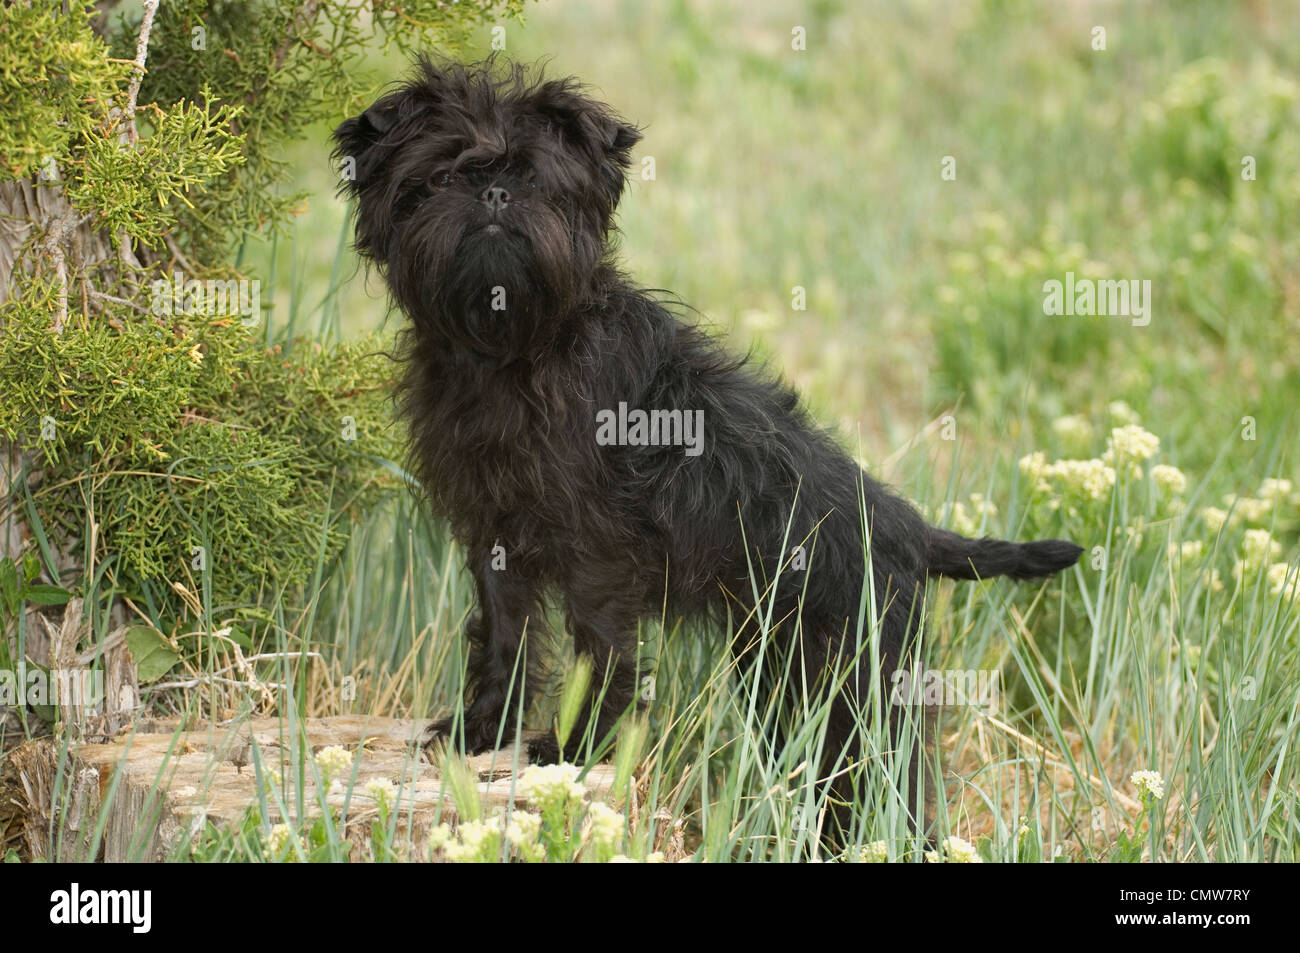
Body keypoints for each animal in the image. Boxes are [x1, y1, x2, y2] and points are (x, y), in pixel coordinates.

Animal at [330, 55, 1081, 837]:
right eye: (441, 178)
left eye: (537, 180)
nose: (495, 192)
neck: (510, 347)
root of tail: (910, 528)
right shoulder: (496, 535)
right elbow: (504, 633)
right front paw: (484, 727)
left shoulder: (600, 552)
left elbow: (602, 649)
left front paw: (577, 746)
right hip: (780, 665)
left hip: (854, 670)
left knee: (884, 769)